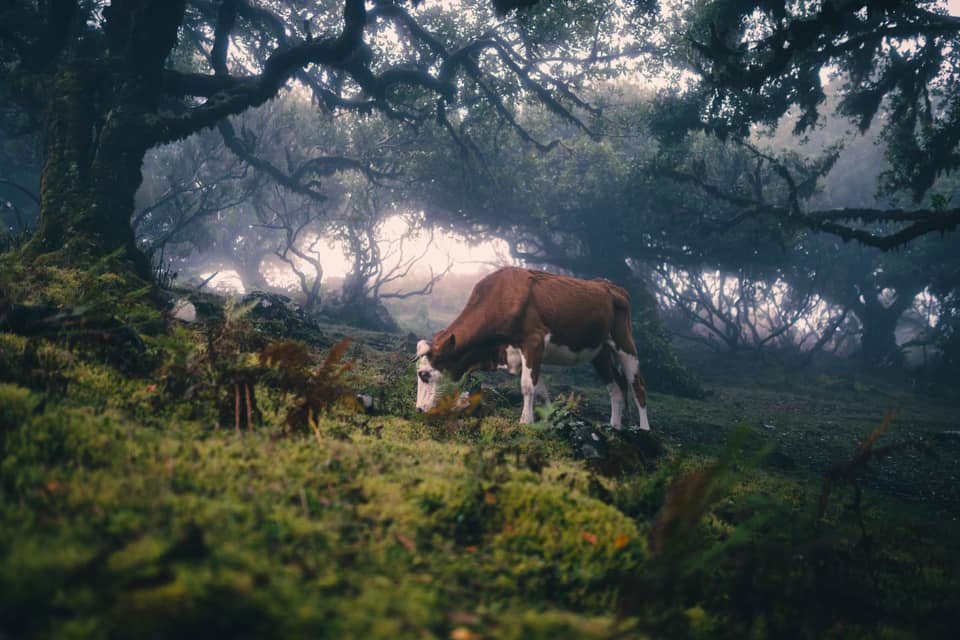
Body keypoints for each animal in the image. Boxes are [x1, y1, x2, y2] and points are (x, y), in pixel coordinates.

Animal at [414, 264, 652, 430]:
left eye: (424, 374)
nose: (418, 409)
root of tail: (611, 286)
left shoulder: (533, 342)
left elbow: (527, 386)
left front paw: (525, 421)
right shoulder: (519, 354)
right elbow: (540, 389)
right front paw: (547, 418)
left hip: (625, 343)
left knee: (637, 385)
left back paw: (644, 429)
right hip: (600, 353)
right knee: (616, 388)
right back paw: (614, 427)